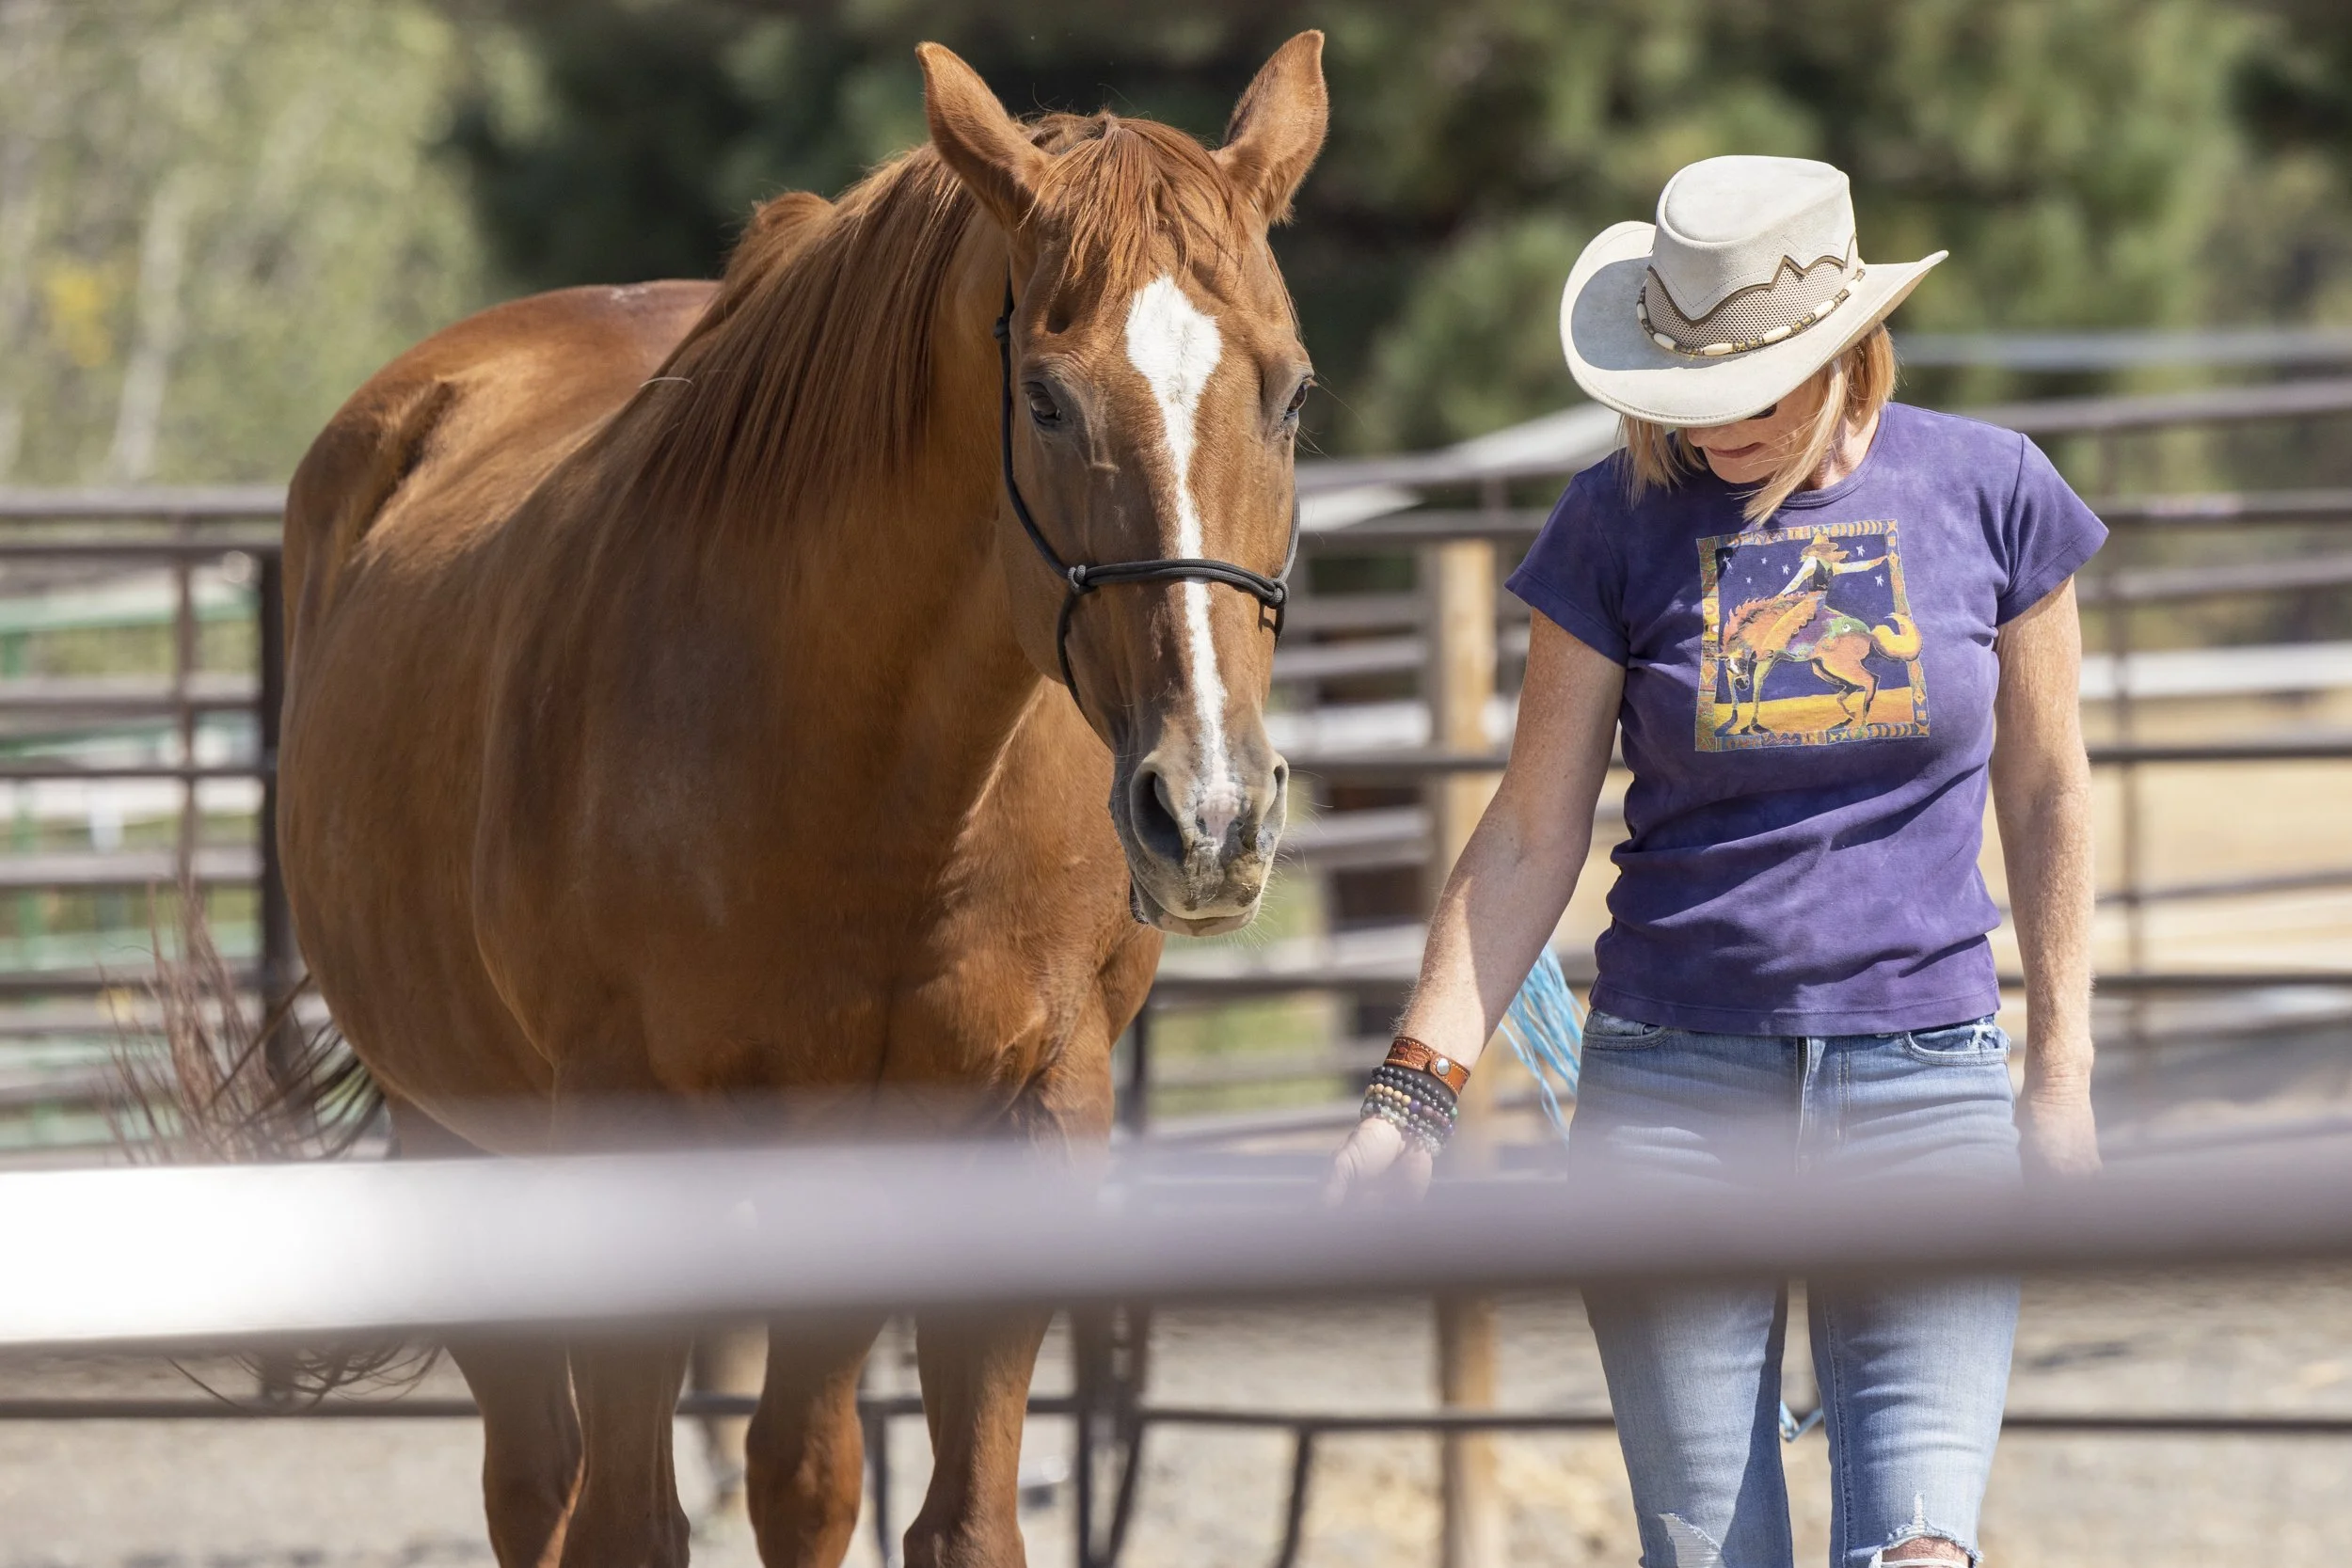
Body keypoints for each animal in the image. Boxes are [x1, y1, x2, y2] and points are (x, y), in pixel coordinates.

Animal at [269, 36, 1327, 1568]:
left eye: (1291, 393)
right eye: (1046, 398)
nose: (1210, 816)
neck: (879, 791)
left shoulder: (1010, 1127)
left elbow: (934, 1515)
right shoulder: (620, 1148)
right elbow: (629, 1519)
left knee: (796, 1466)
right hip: (453, 1130)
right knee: (537, 1476)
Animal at [1716, 593, 1921, 736]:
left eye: (1739, 662)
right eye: (1728, 667)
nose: (1742, 683)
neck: (1761, 628)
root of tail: (1870, 634)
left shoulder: (1768, 660)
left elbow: (1758, 685)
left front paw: (1754, 724)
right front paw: (1736, 716)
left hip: (1837, 664)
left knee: (1870, 680)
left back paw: (1862, 721)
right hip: (1822, 666)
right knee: (1852, 685)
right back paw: (1850, 715)